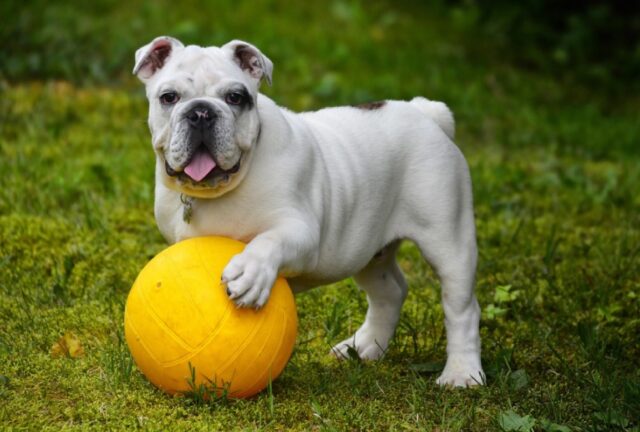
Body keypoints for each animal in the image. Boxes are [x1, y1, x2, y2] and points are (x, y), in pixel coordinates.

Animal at [135, 37, 484, 386]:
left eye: (235, 97)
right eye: (169, 97)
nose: (201, 112)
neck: (220, 190)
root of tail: (424, 111)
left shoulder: (301, 232)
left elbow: (268, 241)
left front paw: (250, 273)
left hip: (448, 240)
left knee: (462, 308)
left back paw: (462, 373)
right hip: (368, 250)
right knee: (389, 292)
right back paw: (363, 348)